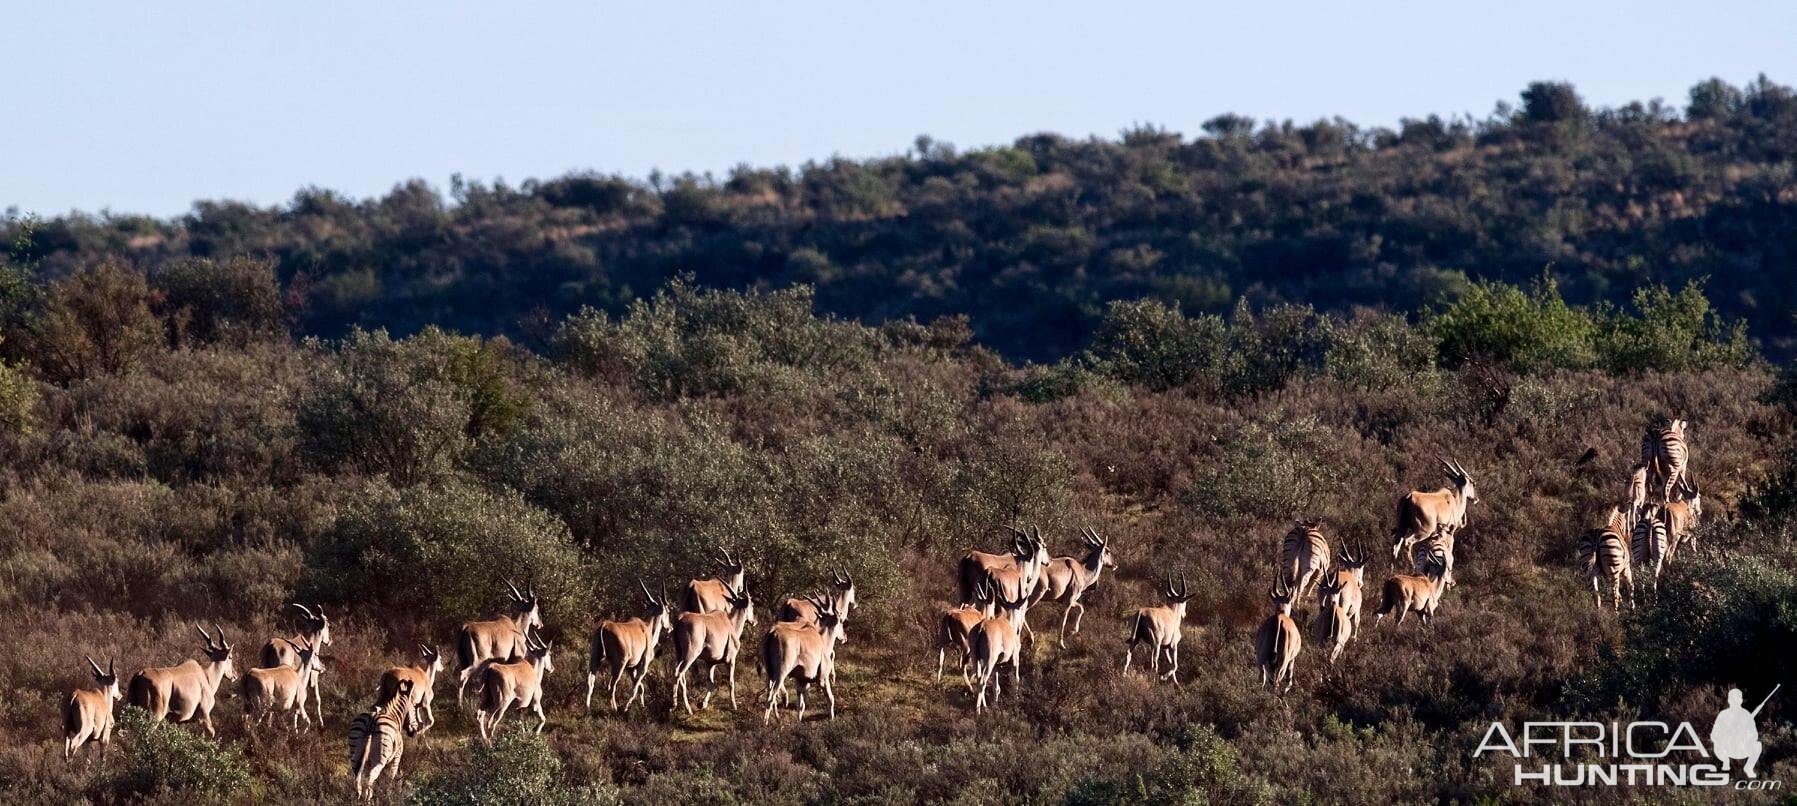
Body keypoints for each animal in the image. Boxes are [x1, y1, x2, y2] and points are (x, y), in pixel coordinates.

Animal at [589, 581, 675, 714]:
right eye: (668, 611)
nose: (670, 626)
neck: (648, 628)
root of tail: (604, 625)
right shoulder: (643, 665)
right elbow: (635, 687)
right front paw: (625, 707)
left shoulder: (630, 668)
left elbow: (640, 686)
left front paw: (642, 705)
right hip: (619, 663)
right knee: (611, 685)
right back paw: (614, 708)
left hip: (595, 658)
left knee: (590, 681)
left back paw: (587, 708)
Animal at [675, 578, 758, 710]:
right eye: (752, 605)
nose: (754, 621)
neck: (731, 623)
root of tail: (680, 619)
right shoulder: (731, 660)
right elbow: (731, 682)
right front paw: (734, 705)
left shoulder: (710, 663)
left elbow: (710, 683)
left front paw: (702, 703)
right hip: (690, 654)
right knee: (679, 672)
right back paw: (683, 707)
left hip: (679, 653)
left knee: (680, 674)